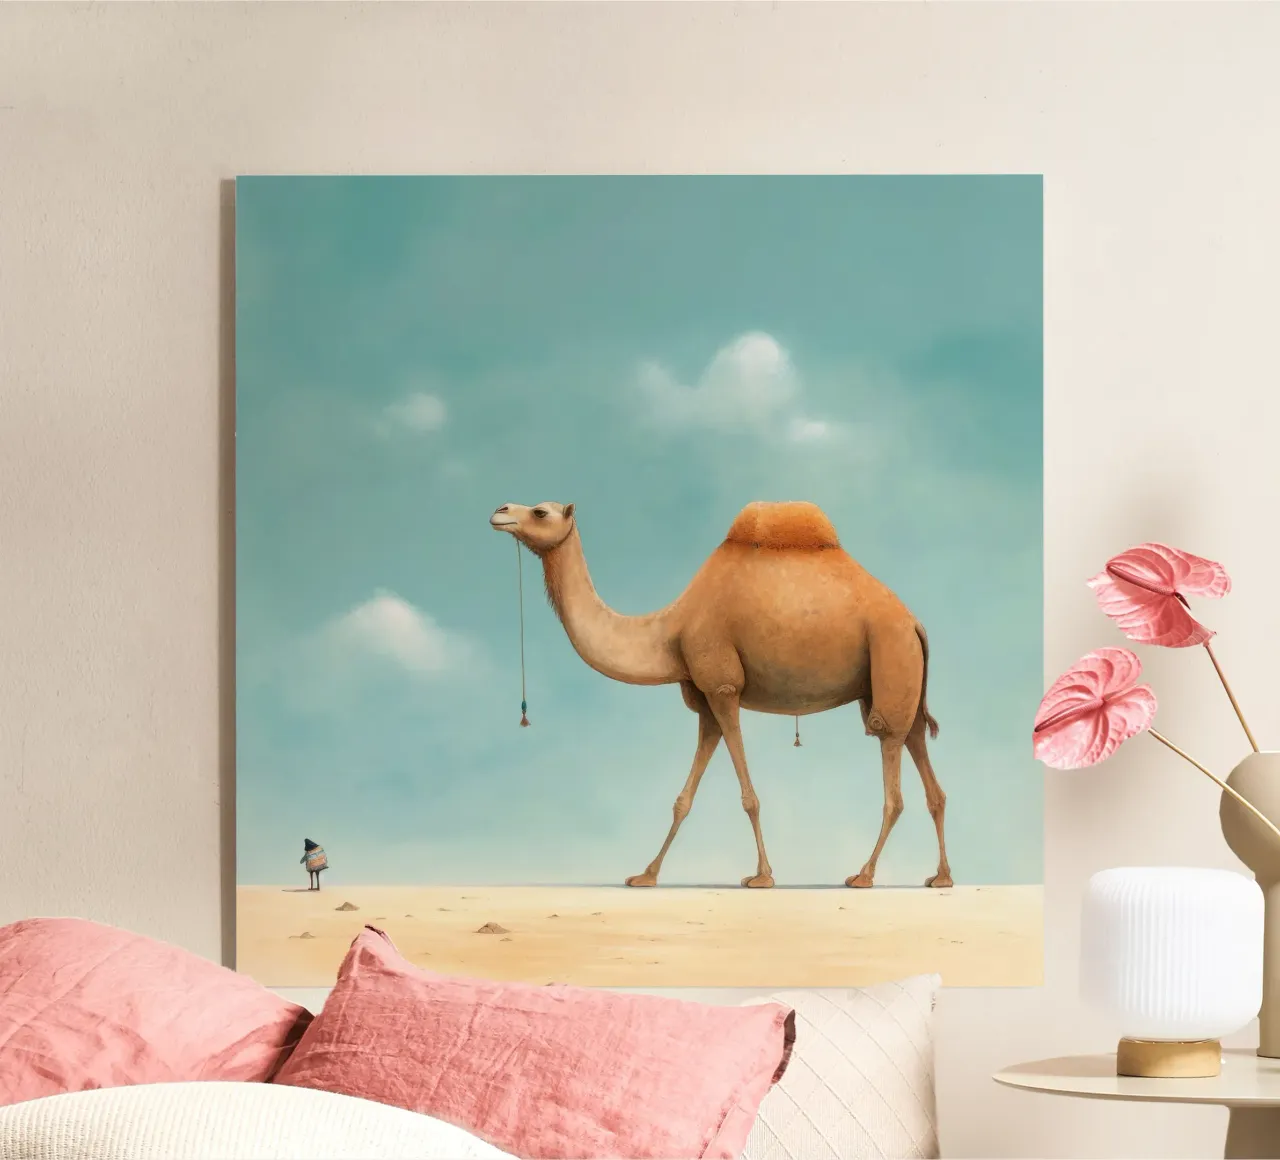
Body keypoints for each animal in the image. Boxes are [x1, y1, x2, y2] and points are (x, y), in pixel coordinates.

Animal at [489, 499, 951, 890]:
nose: (500, 511)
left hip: (890, 657)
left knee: (893, 777)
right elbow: (683, 798)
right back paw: (940, 878)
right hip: (893, 682)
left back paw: (863, 876)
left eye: (540, 511)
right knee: (925, 766)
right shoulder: (704, 700)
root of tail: (915, 624)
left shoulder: (723, 684)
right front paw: (646, 875)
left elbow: (749, 797)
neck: (669, 630)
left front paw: (761, 877)